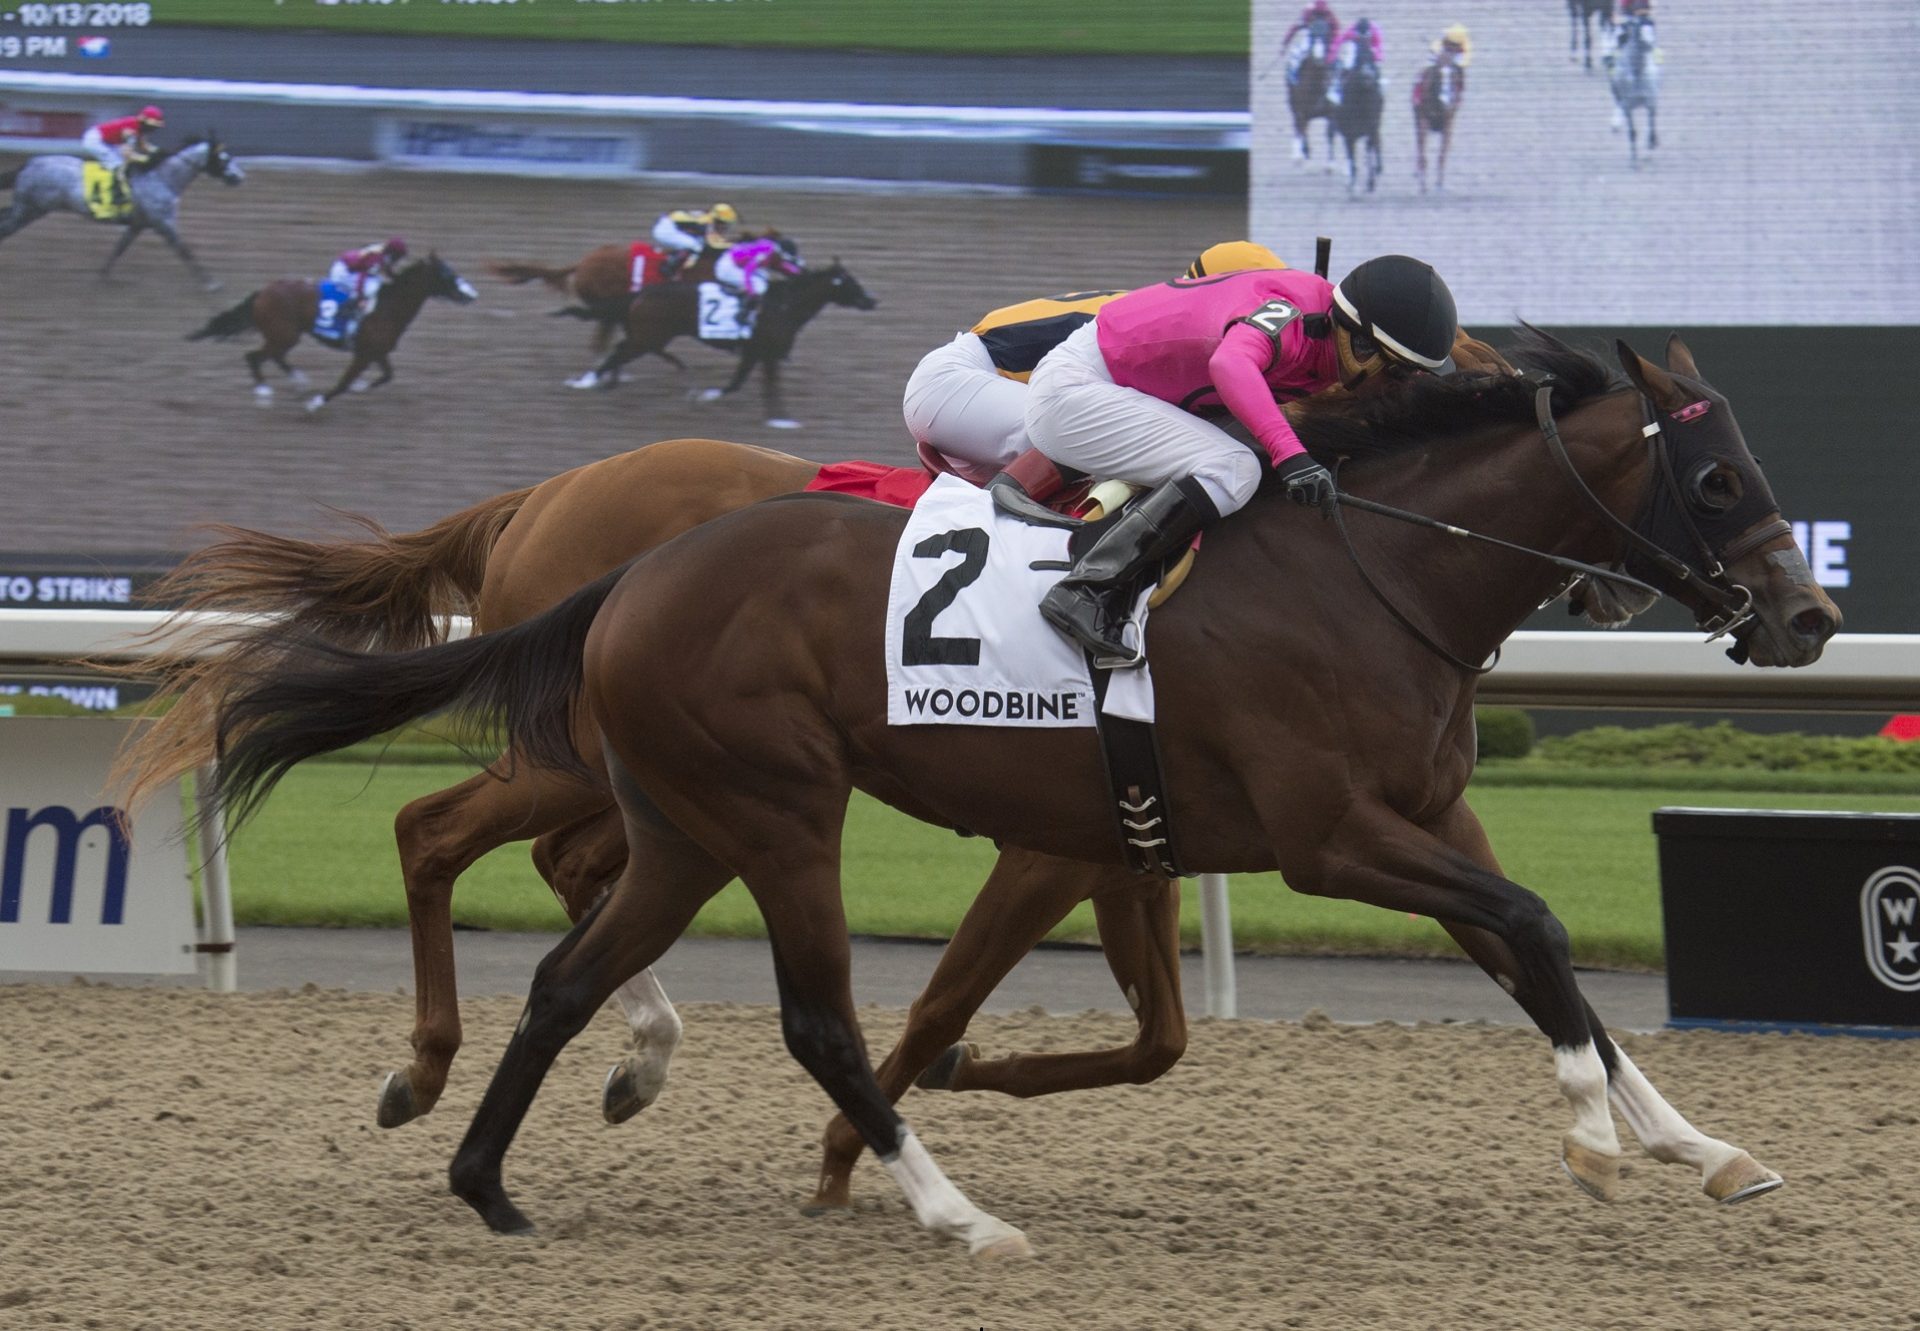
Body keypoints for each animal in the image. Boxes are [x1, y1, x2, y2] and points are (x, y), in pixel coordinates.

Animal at [0, 133, 247, 290]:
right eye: (224, 158)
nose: (239, 177)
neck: (162, 178)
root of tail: (29, 164)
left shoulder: (138, 224)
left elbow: (119, 249)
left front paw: (102, 276)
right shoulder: (164, 223)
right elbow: (185, 250)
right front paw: (212, 283)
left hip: (29, 209)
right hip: (30, 210)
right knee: (6, 227)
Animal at [184, 253, 480, 411]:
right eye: (448, 275)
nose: (472, 294)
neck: (387, 306)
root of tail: (263, 292)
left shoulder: (377, 351)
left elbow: (386, 375)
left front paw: (361, 387)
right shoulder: (363, 354)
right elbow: (343, 383)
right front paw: (315, 403)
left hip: (284, 336)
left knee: (273, 356)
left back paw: (298, 382)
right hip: (284, 334)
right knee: (254, 356)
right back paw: (265, 392)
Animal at [191, 334, 1827, 1259]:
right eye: (1721, 480)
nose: (1807, 619)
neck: (1376, 568)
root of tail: (623, 561)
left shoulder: (1415, 824)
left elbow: (1548, 965)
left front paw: (1700, 1147)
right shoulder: (1323, 838)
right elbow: (1541, 929)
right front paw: (1599, 1144)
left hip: (681, 818)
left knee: (566, 970)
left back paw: (488, 1176)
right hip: (776, 809)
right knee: (805, 1010)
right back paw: (955, 1210)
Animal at [560, 259, 879, 426]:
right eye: (850, 282)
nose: (872, 300)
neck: (784, 305)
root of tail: (641, 293)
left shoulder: (756, 353)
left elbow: (741, 382)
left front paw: (709, 396)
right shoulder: (767, 353)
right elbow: (765, 385)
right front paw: (779, 419)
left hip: (646, 337)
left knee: (620, 351)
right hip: (647, 337)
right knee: (617, 353)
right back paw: (587, 381)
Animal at [1413, 57, 1466, 193]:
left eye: (1453, 75)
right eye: (1438, 74)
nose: (1445, 99)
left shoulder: (1448, 125)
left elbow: (1442, 155)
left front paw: (1439, 185)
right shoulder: (1423, 122)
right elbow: (1423, 154)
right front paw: (1423, 185)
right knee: (1419, 147)